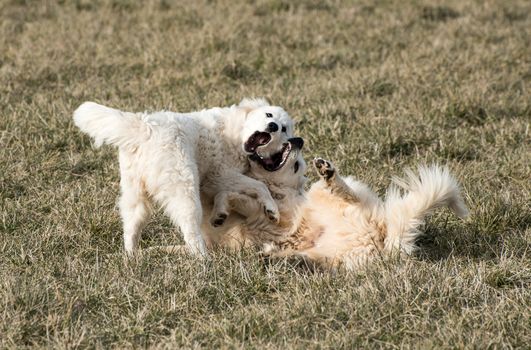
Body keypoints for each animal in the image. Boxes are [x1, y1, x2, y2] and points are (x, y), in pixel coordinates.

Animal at [72, 97, 298, 256]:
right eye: (269, 115)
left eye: (284, 128)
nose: (273, 127)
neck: (233, 131)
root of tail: (147, 128)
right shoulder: (219, 175)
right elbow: (260, 186)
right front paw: (272, 210)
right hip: (185, 190)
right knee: (191, 232)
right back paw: (205, 262)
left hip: (135, 195)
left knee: (130, 228)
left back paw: (131, 257)